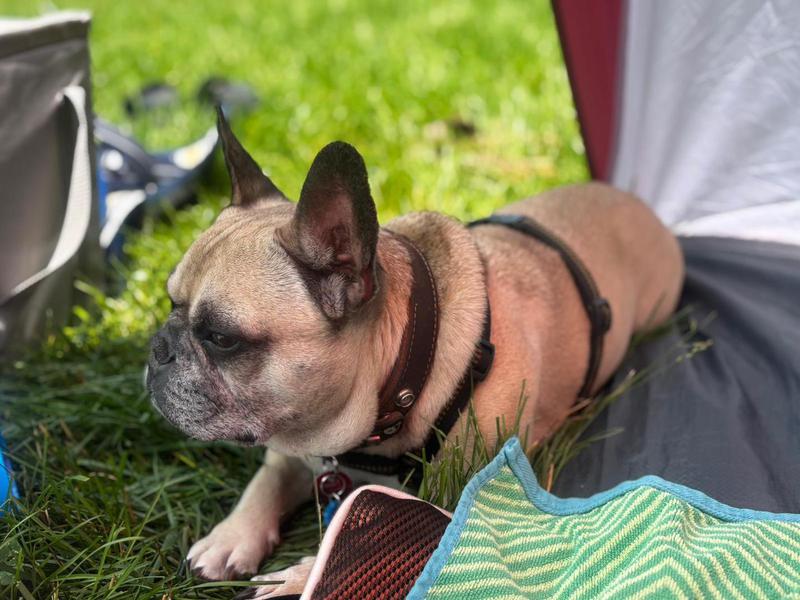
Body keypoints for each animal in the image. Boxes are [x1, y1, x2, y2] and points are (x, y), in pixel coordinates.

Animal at [147, 111, 683, 594]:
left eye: (221, 338)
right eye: (170, 302)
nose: (157, 348)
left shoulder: (458, 503)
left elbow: (361, 539)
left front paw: (296, 577)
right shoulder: (292, 438)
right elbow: (268, 478)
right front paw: (232, 535)